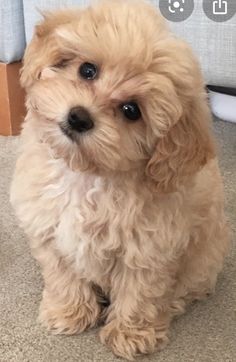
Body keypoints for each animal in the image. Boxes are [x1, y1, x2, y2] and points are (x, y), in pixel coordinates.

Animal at [10, 0, 229, 358]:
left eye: (131, 110)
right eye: (87, 70)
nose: (79, 117)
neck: (87, 175)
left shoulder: (149, 249)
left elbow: (140, 292)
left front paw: (130, 334)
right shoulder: (49, 230)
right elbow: (62, 275)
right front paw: (68, 312)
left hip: (205, 257)